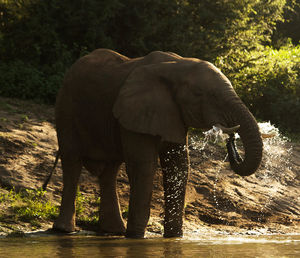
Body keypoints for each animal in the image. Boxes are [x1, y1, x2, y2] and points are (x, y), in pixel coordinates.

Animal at [53, 48, 262, 238]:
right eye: (199, 94)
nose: (231, 139)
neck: (177, 66)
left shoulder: (172, 113)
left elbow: (178, 167)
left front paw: (174, 237)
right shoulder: (136, 111)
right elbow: (144, 166)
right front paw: (136, 237)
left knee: (109, 171)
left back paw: (113, 231)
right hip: (66, 108)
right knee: (72, 162)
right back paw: (64, 230)